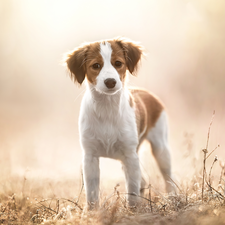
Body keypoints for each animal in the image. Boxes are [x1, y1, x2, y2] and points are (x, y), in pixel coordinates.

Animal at [64, 37, 173, 209]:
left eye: (118, 63)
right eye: (96, 66)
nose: (110, 82)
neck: (107, 109)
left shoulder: (130, 155)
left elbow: (132, 191)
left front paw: (133, 211)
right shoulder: (90, 157)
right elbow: (92, 192)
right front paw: (92, 212)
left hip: (160, 148)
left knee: (168, 178)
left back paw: (175, 198)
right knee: (142, 180)